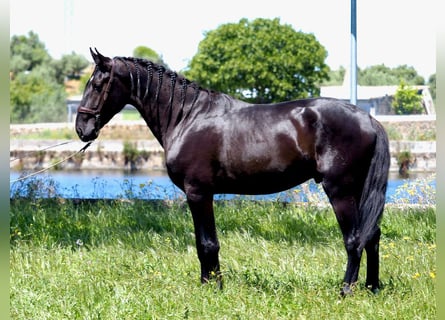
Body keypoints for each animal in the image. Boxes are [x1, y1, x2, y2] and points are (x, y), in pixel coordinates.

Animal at [76, 48, 388, 296]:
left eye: (98, 84)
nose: (82, 129)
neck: (188, 117)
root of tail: (368, 118)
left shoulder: (198, 193)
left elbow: (207, 244)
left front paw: (212, 287)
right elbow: (203, 244)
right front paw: (209, 284)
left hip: (340, 190)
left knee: (354, 240)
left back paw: (345, 291)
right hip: (358, 189)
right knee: (372, 235)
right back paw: (372, 287)